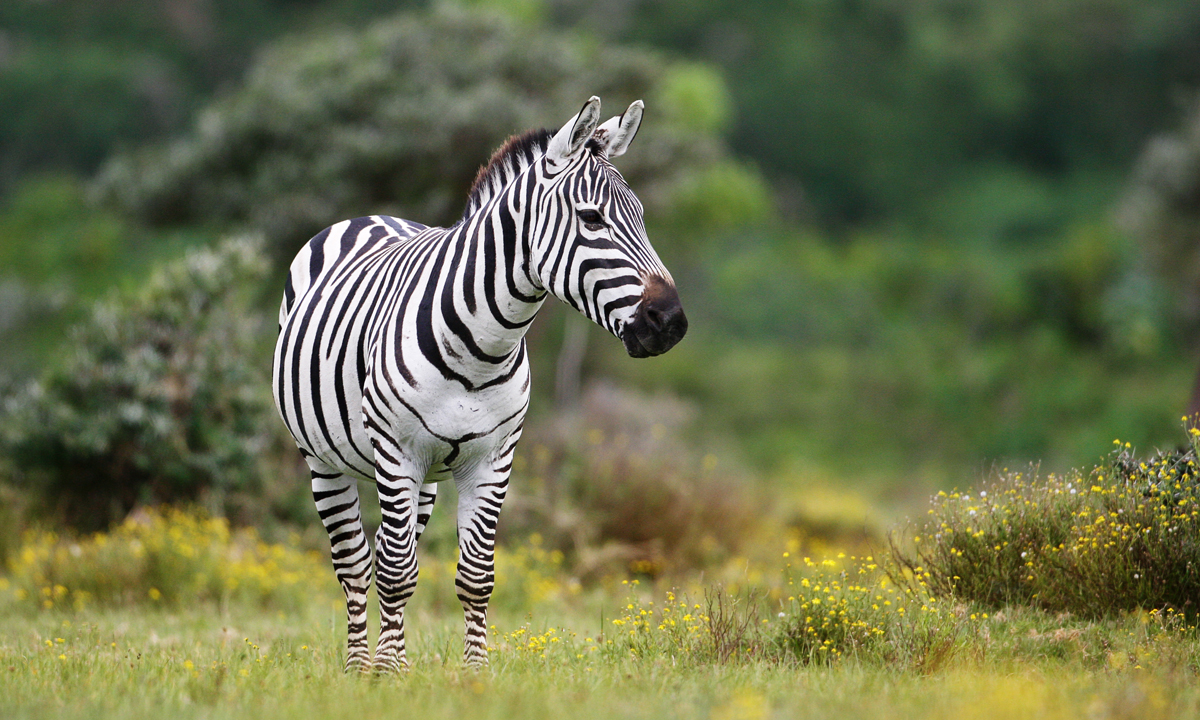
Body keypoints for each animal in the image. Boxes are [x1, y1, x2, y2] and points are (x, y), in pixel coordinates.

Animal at [272, 97, 687, 672]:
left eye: (642, 217)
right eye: (591, 218)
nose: (670, 322)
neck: (482, 348)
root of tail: (369, 216)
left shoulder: (492, 459)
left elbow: (474, 577)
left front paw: (474, 673)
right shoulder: (397, 450)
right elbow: (395, 575)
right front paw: (388, 676)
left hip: (424, 477)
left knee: (386, 551)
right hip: (325, 459)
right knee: (356, 563)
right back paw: (360, 666)